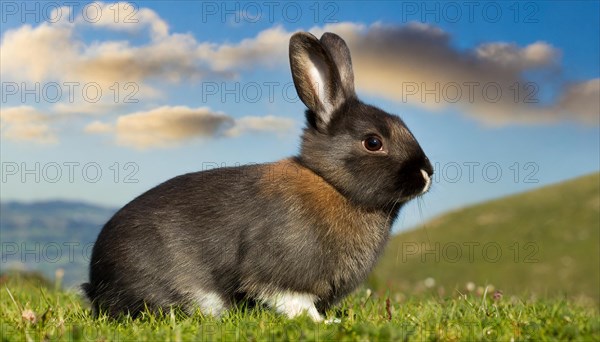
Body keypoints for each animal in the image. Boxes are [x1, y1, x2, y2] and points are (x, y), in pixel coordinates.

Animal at [83, 30, 432, 322]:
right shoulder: (279, 272)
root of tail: (96, 281)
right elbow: (293, 301)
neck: (332, 185)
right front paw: (324, 323)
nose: (427, 174)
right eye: (373, 142)